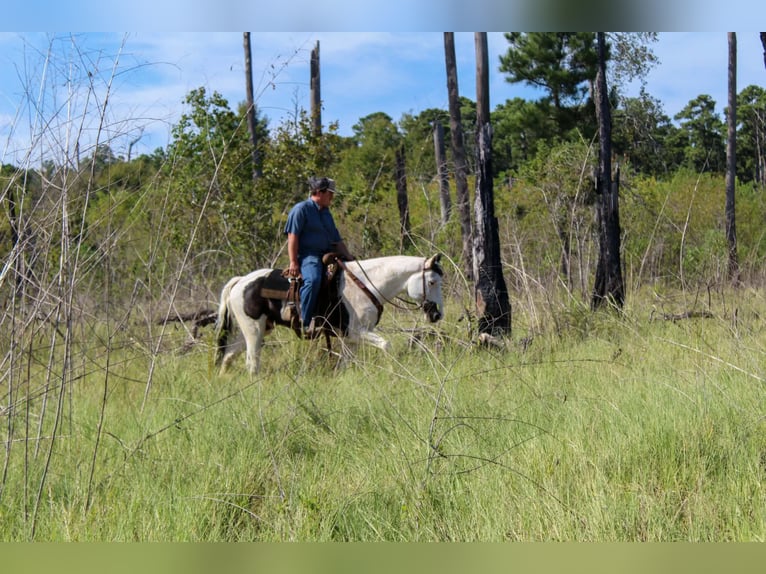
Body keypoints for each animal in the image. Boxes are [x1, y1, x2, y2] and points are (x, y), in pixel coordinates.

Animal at [214, 253, 445, 375]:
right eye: (432, 281)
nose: (437, 315)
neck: (366, 284)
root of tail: (241, 281)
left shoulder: (352, 339)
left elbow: (345, 363)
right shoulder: (356, 332)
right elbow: (385, 344)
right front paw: (392, 371)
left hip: (257, 329)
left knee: (229, 355)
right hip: (254, 330)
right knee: (251, 362)